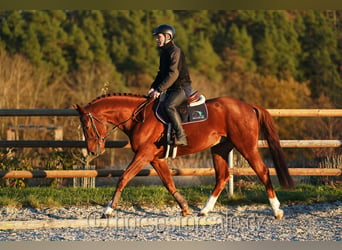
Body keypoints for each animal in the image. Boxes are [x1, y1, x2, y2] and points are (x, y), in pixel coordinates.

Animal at [75, 93, 294, 220]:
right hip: (220, 149)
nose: (93, 151)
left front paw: (108, 210)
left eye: (86, 125)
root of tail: (248, 106)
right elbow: (168, 182)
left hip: (246, 146)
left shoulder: (144, 154)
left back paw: (276, 209)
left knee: (262, 171)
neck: (140, 118)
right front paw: (185, 207)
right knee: (222, 177)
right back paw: (204, 210)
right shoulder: (155, 158)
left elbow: (124, 178)